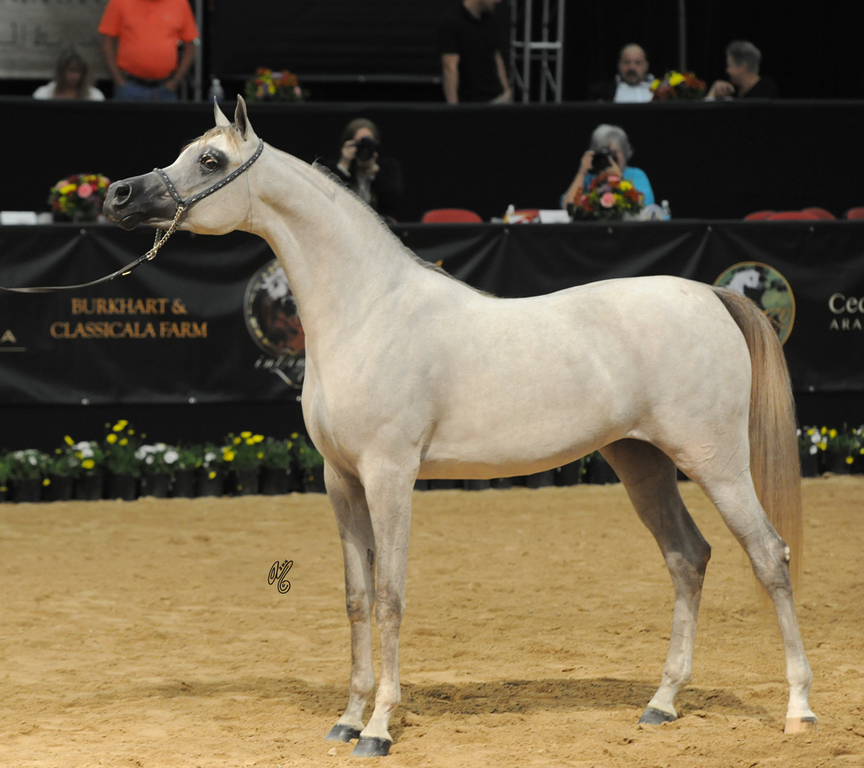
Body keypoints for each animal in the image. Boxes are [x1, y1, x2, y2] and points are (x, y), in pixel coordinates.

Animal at [103, 98, 816, 757]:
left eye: (210, 160)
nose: (118, 195)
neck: (367, 310)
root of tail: (710, 295)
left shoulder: (390, 475)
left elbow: (390, 595)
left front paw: (379, 728)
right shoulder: (341, 480)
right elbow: (356, 598)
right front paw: (348, 718)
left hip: (715, 461)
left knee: (769, 556)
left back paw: (799, 709)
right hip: (641, 463)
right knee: (688, 557)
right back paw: (662, 703)